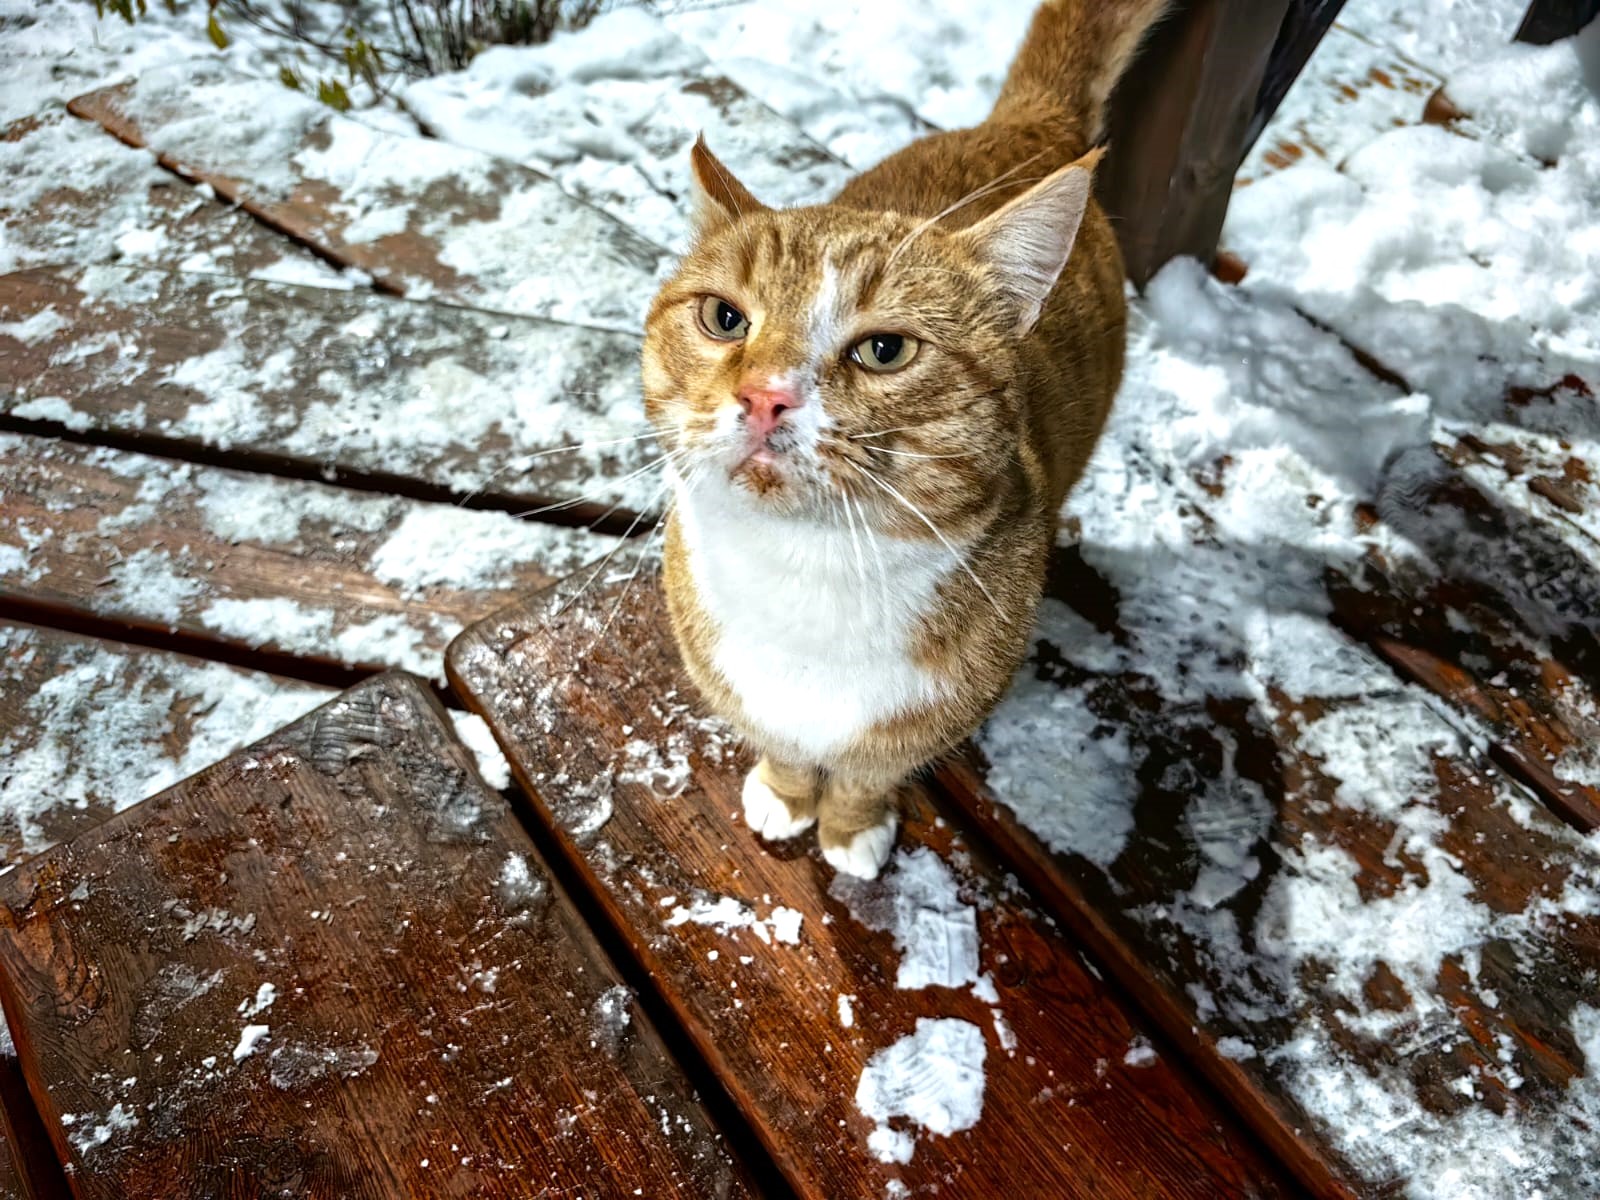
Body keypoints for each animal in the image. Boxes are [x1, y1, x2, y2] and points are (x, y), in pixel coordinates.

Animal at [643, 2, 1171, 883]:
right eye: (723, 318)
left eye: (885, 350)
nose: (765, 395)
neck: (808, 576)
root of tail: (1027, 122)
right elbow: (784, 746)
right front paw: (786, 795)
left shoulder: (929, 716)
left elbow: (867, 771)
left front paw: (850, 828)